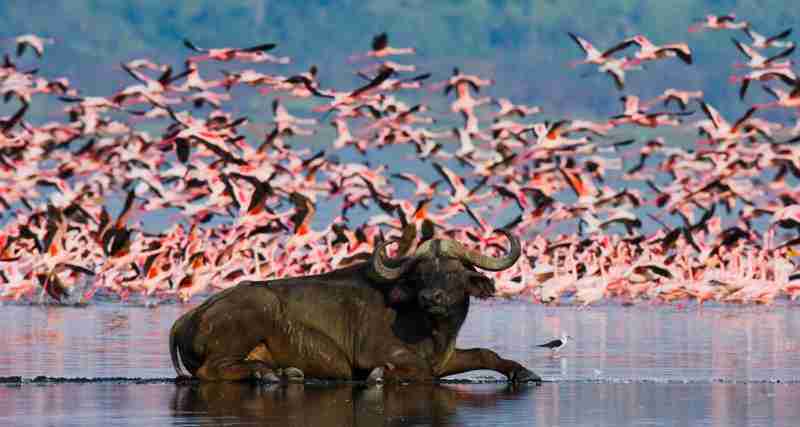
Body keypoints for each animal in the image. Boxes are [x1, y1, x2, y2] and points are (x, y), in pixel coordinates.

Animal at [171, 231, 540, 384]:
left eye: (453, 273)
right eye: (420, 275)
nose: (430, 298)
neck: (430, 327)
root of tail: (189, 317)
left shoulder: (445, 358)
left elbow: (484, 354)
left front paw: (524, 372)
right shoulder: (373, 353)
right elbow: (417, 371)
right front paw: (382, 375)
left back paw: (283, 373)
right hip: (254, 311)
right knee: (211, 371)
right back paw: (269, 376)